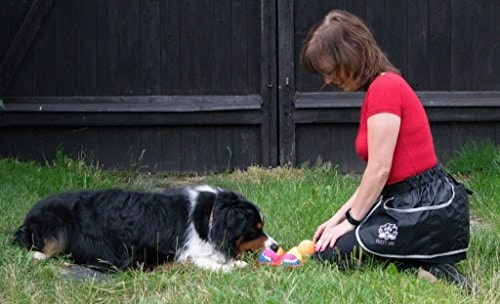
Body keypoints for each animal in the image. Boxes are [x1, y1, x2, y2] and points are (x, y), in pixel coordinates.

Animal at [14, 185, 282, 274]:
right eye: (255, 228)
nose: (276, 246)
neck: (209, 220)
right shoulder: (156, 256)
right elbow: (197, 260)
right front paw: (230, 266)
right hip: (56, 224)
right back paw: (37, 255)